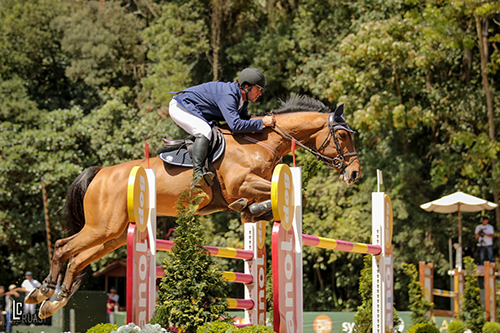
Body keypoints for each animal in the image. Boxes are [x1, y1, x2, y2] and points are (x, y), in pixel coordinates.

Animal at [26, 93, 360, 316]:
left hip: (114, 234)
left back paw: (53, 302)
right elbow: (281, 194)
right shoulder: (241, 184)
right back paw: (43, 291)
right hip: (101, 227)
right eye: (343, 135)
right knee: (63, 247)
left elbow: (263, 204)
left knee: (77, 259)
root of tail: (101, 173)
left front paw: (252, 211)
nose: (355, 174)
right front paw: (250, 207)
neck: (261, 144)